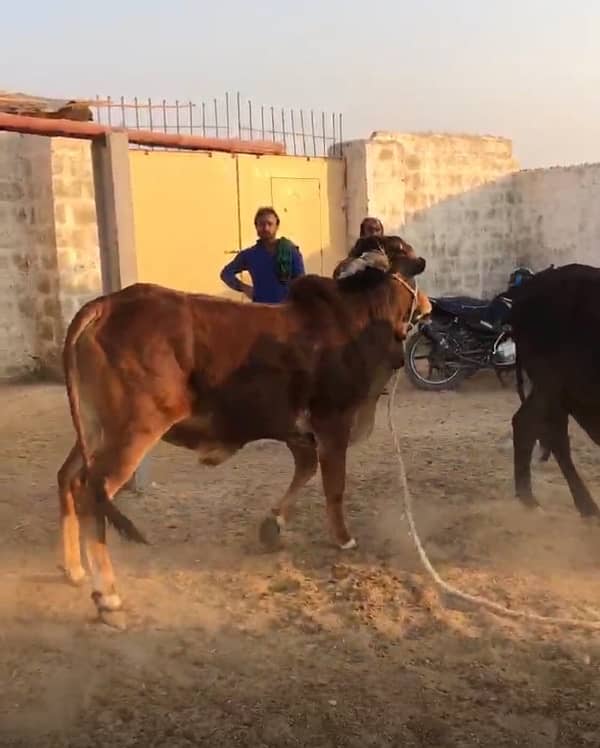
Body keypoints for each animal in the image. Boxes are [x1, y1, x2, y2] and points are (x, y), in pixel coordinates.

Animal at [57, 234, 426, 620]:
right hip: (133, 432)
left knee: (68, 478)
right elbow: (334, 487)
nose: (427, 306)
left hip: (94, 430)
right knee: (90, 492)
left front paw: (273, 524)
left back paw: (74, 569)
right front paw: (343, 538)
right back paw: (107, 594)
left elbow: (305, 469)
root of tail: (106, 306)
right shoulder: (332, 423)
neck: (355, 317)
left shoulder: (296, 432)